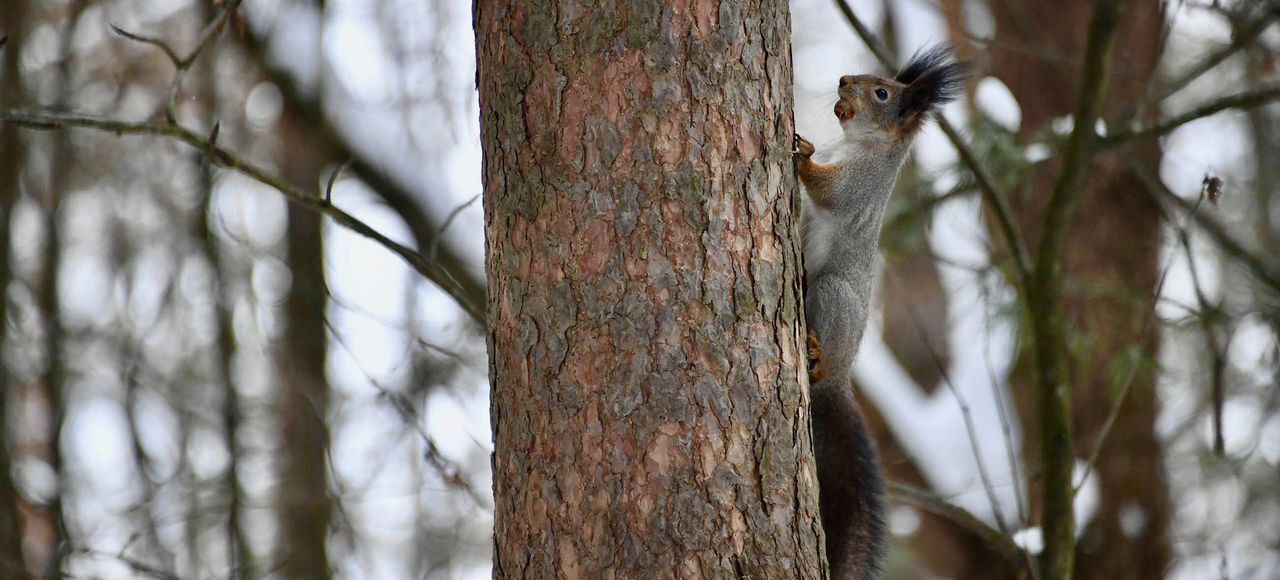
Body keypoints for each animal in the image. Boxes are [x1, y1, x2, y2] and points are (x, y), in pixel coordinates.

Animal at [788, 46, 967, 578]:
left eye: (882, 92)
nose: (843, 79)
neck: (858, 145)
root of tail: (840, 378)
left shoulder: (861, 186)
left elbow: (831, 193)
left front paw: (802, 151)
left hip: (833, 296)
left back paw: (816, 353)